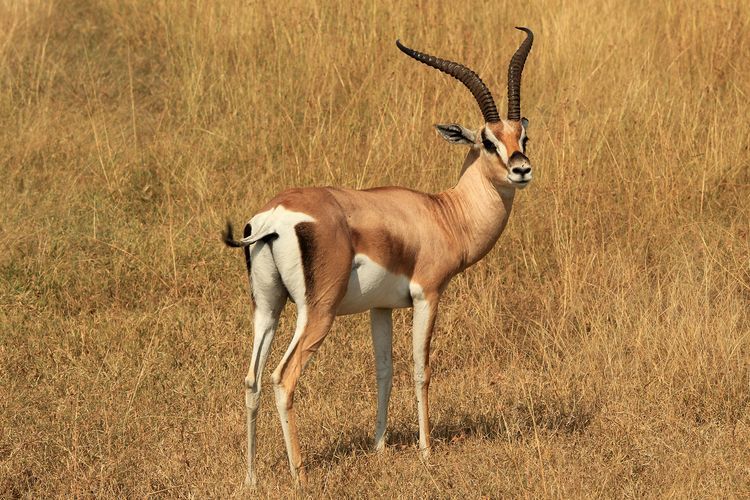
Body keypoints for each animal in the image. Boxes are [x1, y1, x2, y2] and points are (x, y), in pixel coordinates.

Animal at [224, 27, 534, 486]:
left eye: (522, 136)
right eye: (487, 140)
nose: (521, 169)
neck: (443, 214)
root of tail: (274, 216)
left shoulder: (381, 308)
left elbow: (384, 370)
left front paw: (379, 447)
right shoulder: (427, 295)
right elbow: (421, 368)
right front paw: (425, 452)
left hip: (267, 307)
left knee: (252, 379)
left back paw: (250, 477)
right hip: (316, 313)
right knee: (283, 377)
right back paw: (300, 474)